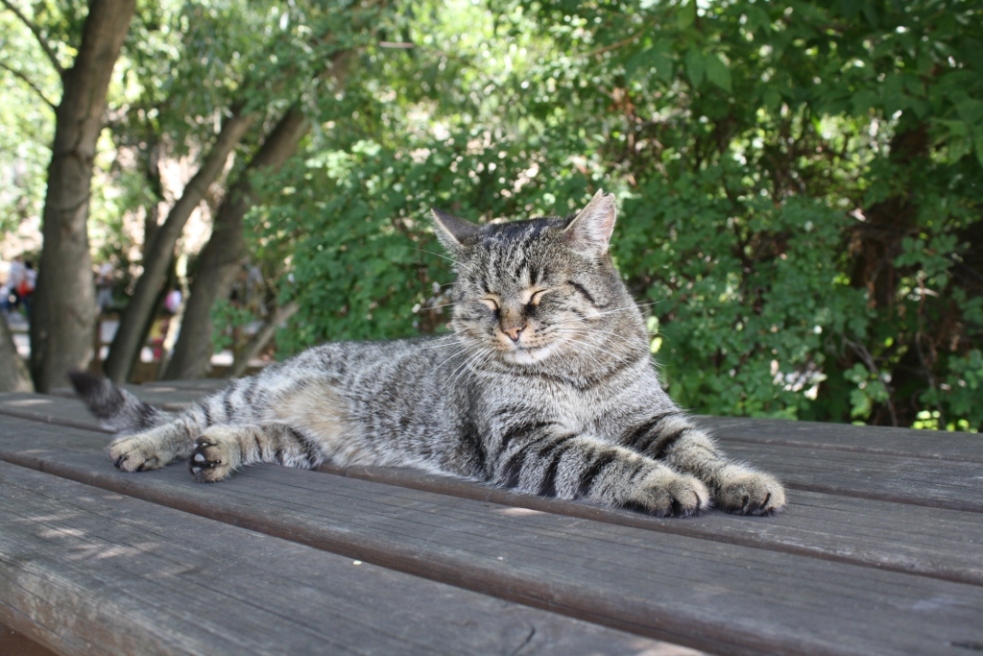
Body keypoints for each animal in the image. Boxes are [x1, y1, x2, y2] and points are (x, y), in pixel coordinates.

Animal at [73, 191, 788, 516]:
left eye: (538, 293)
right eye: (485, 300)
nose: (511, 331)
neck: (574, 370)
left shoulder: (648, 417)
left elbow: (699, 448)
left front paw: (741, 480)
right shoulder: (528, 440)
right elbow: (607, 460)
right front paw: (667, 484)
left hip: (299, 440)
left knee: (247, 433)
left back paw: (217, 454)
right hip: (244, 391)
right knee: (184, 418)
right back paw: (146, 446)